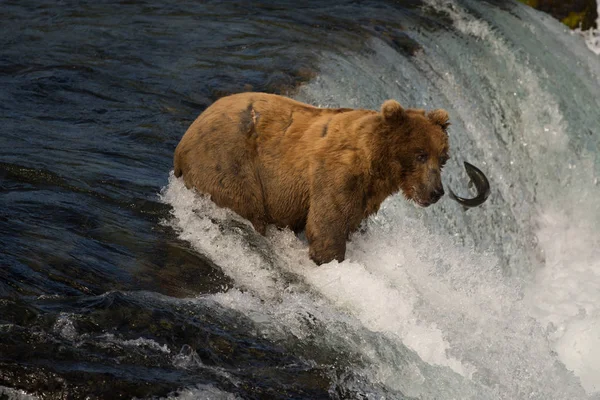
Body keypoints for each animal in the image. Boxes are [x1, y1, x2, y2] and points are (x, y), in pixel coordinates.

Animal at [171, 92, 448, 264]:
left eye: (443, 158)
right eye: (421, 155)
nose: (437, 192)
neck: (376, 164)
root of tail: (183, 142)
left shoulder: (364, 195)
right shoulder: (336, 174)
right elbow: (327, 224)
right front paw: (330, 259)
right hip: (230, 163)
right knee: (246, 206)